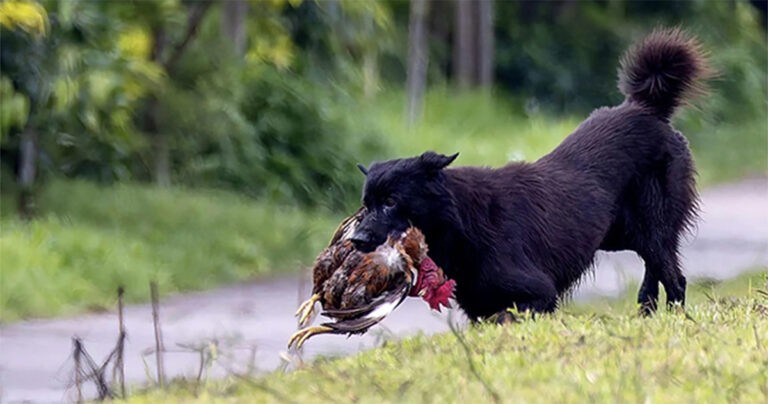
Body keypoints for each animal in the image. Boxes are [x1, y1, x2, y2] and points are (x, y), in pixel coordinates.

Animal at [352, 28, 712, 320]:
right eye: (366, 206)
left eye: (391, 202)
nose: (356, 240)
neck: (461, 220)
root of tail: (646, 107)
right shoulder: (479, 307)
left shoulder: (537, 294)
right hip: (623, 235)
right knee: (656, 270)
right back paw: (647, 312)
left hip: (652, 225)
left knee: (674, 277)